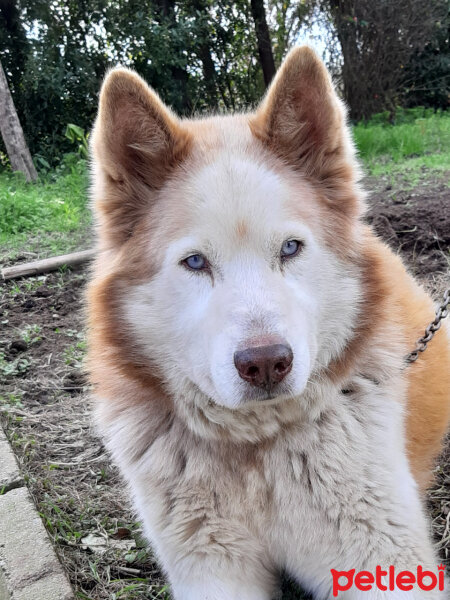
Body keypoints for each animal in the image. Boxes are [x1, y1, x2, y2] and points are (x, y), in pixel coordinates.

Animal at [88, 44, 450, 596]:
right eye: (195, 262)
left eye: (291, 248)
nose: (265, 364)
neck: (257, 450)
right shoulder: (210, 565)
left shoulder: (384, 559)